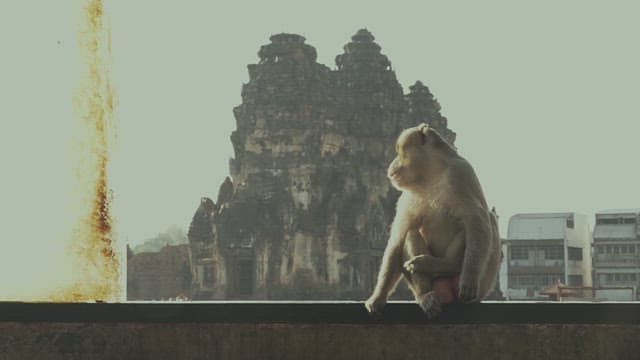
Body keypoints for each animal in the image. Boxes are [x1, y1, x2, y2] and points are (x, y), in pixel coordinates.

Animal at [364, 124, 500, 318]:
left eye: (400, 152)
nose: (391, 167)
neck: (431, 176)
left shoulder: (461, 171)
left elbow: (477, 221)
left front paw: (470, 277)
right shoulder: (407, 196)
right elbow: (398, 240)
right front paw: (378, 297)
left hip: (483, 284)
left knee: (486, 221)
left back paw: (449, 265)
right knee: (410, 234)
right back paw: (425, 294)